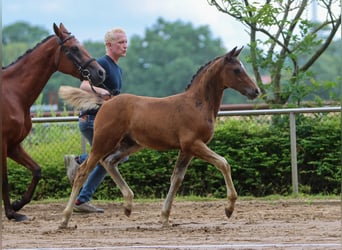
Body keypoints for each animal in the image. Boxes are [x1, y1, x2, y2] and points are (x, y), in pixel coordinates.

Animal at [1, 22, 105, 221]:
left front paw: (18, 204)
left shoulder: (13, 145)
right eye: (74, 48)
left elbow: (37, 170)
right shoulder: (3, 144)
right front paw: (11, 213)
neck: (13, 94)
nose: (101, 72)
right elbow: (4, 178)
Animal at [58, 47, 260, 229]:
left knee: (109, 162)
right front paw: (229, 208)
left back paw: (128, 205)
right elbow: (223, 163)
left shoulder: (186, 150)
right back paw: (65, 219)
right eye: (237, 70)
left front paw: (164, 217)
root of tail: (106, 102)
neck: (198, 104)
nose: (256, 91)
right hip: (103, 142)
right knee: (84, 171)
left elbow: (176, 178)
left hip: (130, 144)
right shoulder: (194, 144)